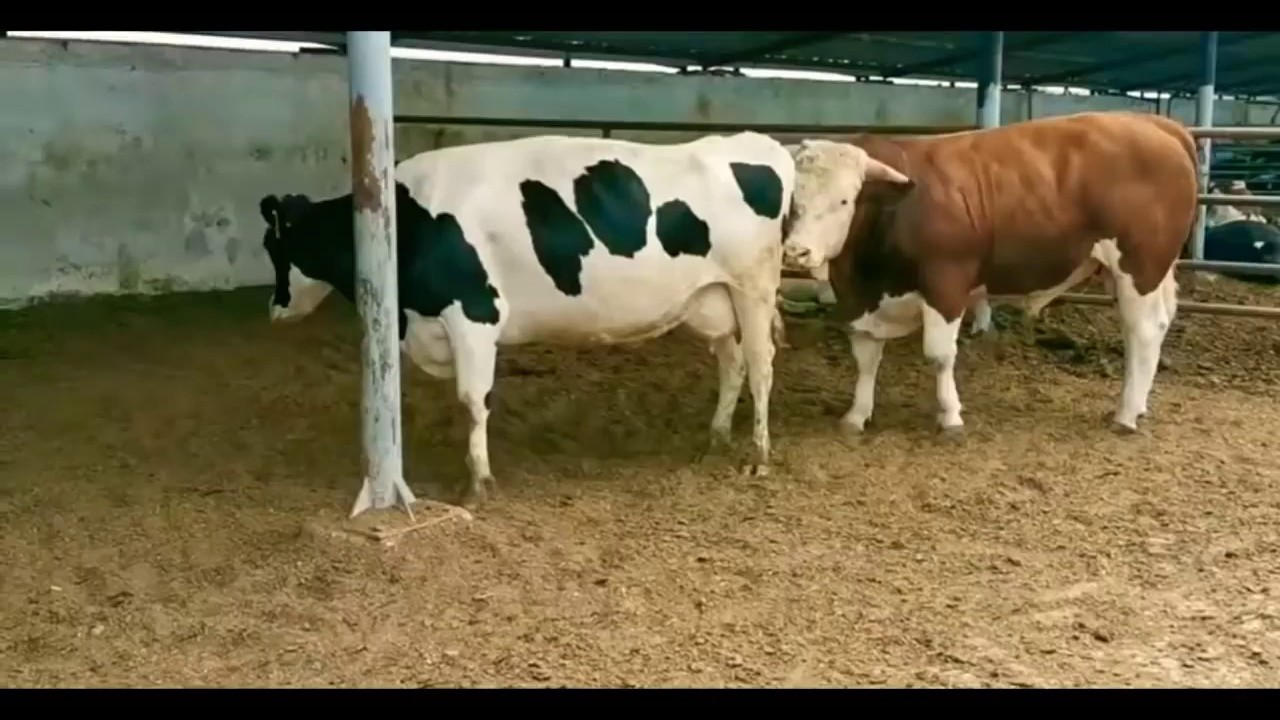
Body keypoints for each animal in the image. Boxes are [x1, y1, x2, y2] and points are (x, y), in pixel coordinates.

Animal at [258, 132, 900, 506]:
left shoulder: (474, 315)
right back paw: (717, 434)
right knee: (734, 363)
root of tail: (758, 142)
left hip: (754, 287)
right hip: (712, 299)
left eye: (274, 245)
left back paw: (758, 455)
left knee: (763, 368)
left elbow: (472, 399)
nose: (274, 307)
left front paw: (479, 480)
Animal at [779, 110, 1198, 435]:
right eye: (793, 200)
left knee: (1143, 330)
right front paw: (857, 415)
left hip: (1140, 264)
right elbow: (865, 355)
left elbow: (939, 354)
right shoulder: (858, 299)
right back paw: (1137, 404)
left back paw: (1125, 414)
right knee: (1149, 327)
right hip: (1135, 271)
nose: (798, 251)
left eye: (843, 201)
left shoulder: (946, 282)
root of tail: (1154, 123)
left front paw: (950, 416)